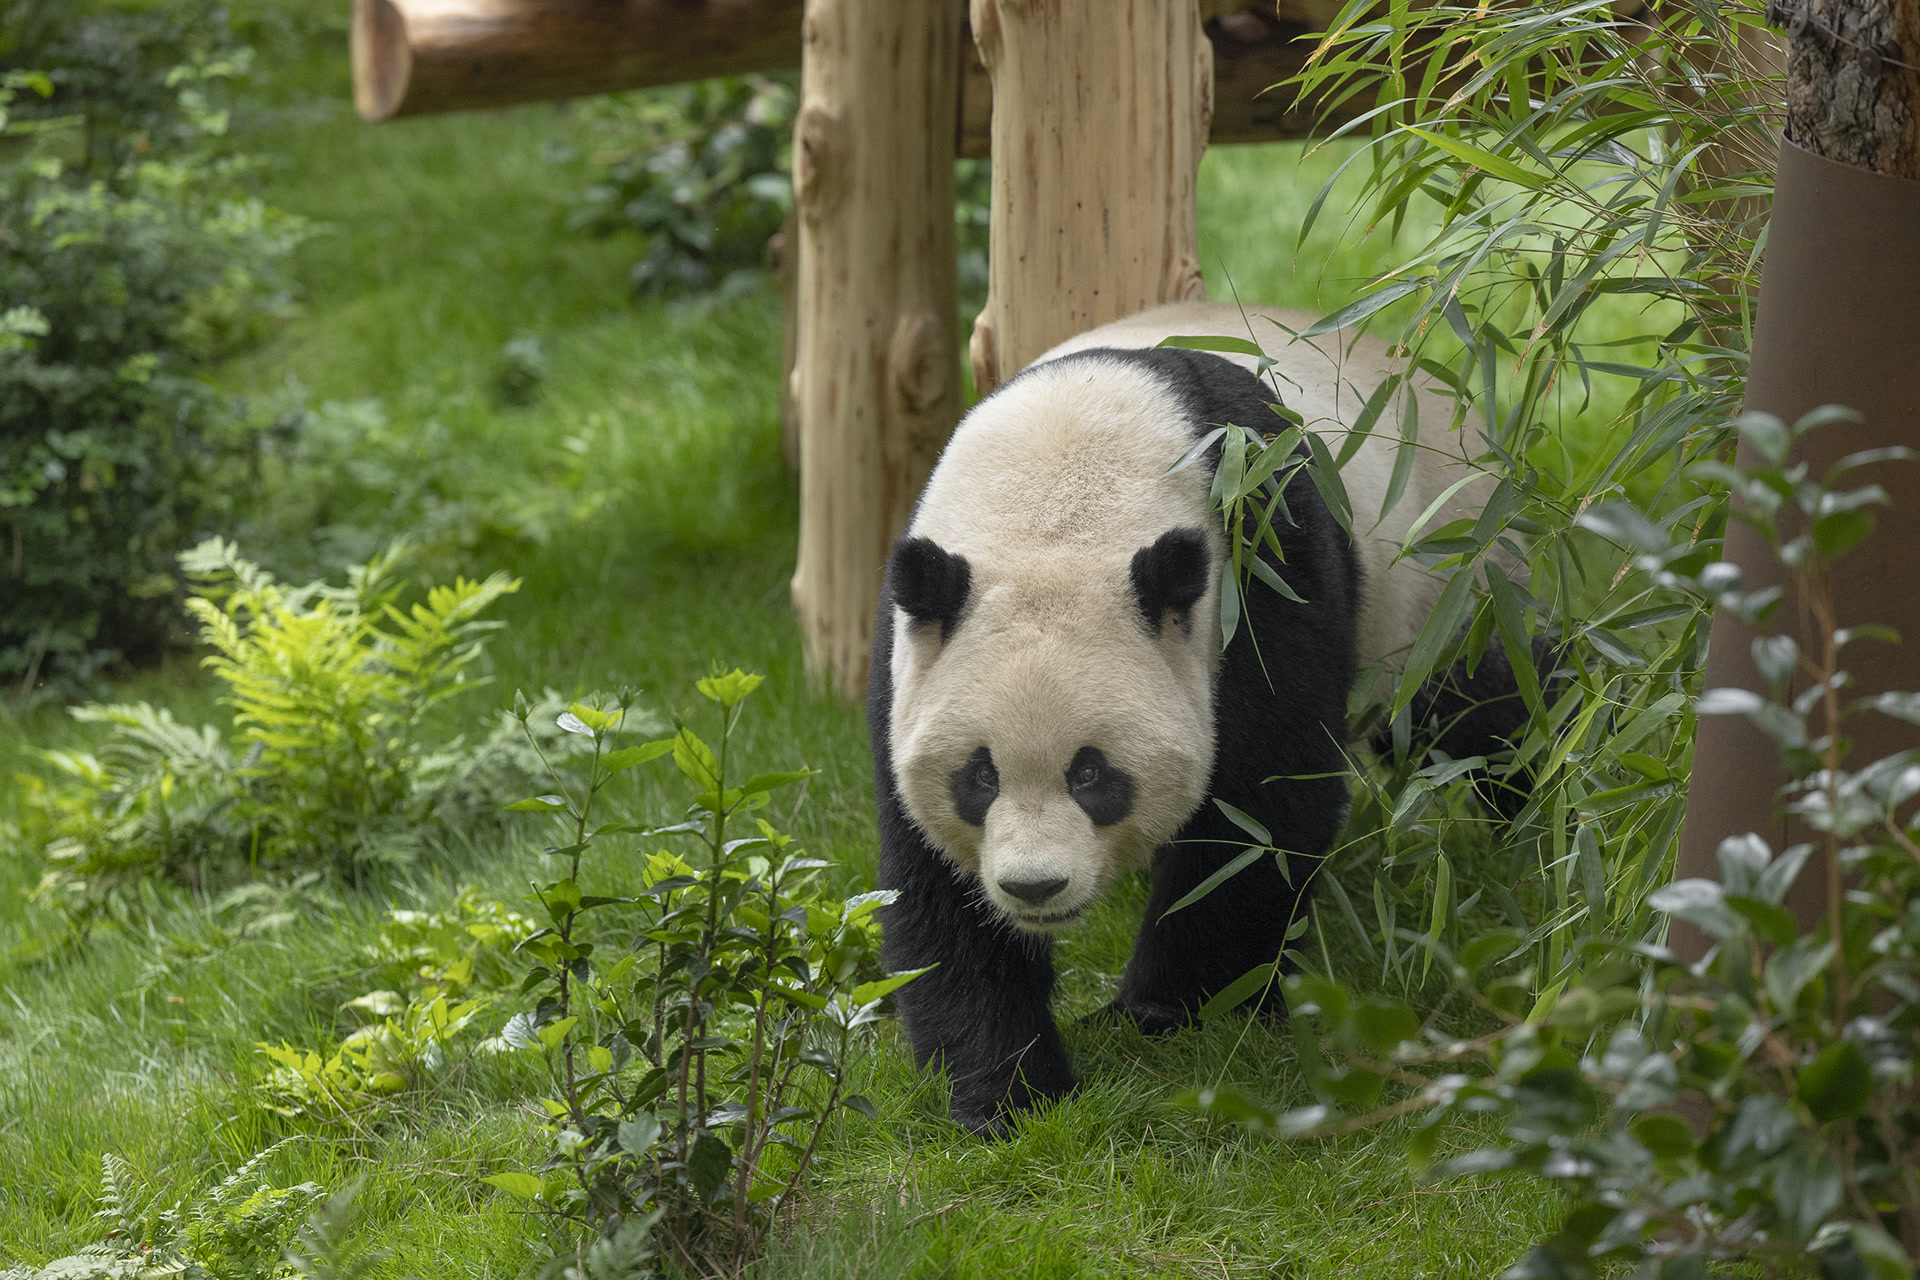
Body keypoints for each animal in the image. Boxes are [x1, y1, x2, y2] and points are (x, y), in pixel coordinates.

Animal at [875, 297, 1528, 1128]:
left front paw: (1169, 1010)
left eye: (1093, 775)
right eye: (979, 777)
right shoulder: (911, 647)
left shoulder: (1260, 557)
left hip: (1446, 580)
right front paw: (1007, 1091)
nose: (1034, 888)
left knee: (1486, 710)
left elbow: (1259, 809)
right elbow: (934, 883)